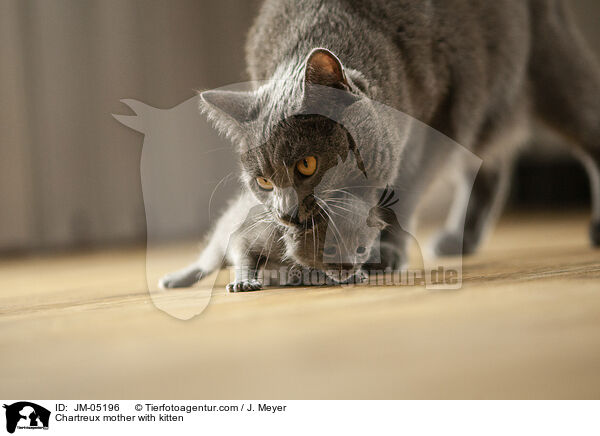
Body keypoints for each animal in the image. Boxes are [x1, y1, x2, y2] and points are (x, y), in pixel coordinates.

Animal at [161, 0, 600, 292]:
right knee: (489, 166)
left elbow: (405, 188)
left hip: (544, 66)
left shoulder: (442, 117)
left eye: (307, 164)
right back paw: (460, 237)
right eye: (263, 182)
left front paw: (382, 252)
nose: (285, 214)